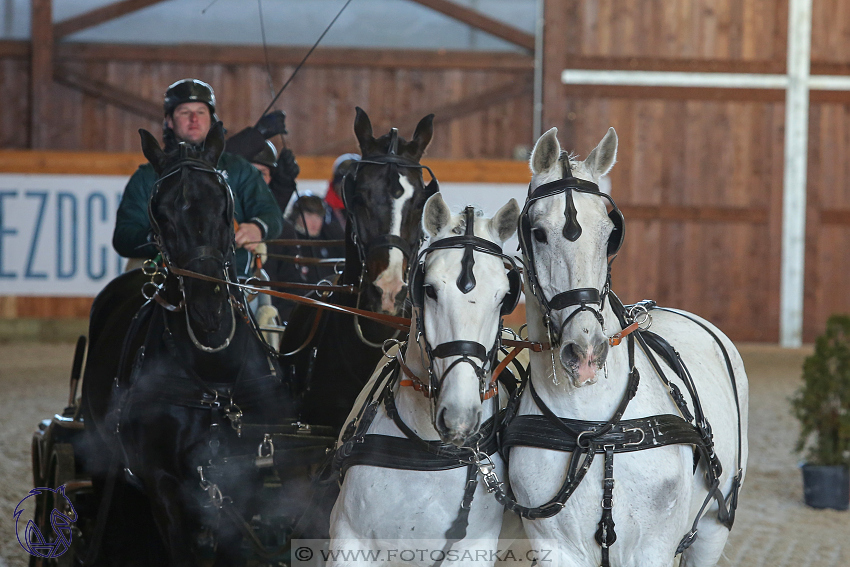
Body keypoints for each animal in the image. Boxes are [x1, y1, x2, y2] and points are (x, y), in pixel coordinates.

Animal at [79, 123, 296, 564]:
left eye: (223, 202)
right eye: (159, 211)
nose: (207, 307)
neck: (214, 376)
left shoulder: (243, 480)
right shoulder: (163, 484)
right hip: (105, 465)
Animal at [328, 194, 520, 564]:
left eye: (504, 297)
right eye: (429, 290)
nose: (459, 418)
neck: (429, 448)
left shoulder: (471, 549)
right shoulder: (348, 538)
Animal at [500, 129, 744, 567]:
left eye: (609, 233)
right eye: (538, 233)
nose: (586, 353)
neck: (594, 431)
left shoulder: (652, 549)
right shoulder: (556, 548)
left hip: (714, 527)